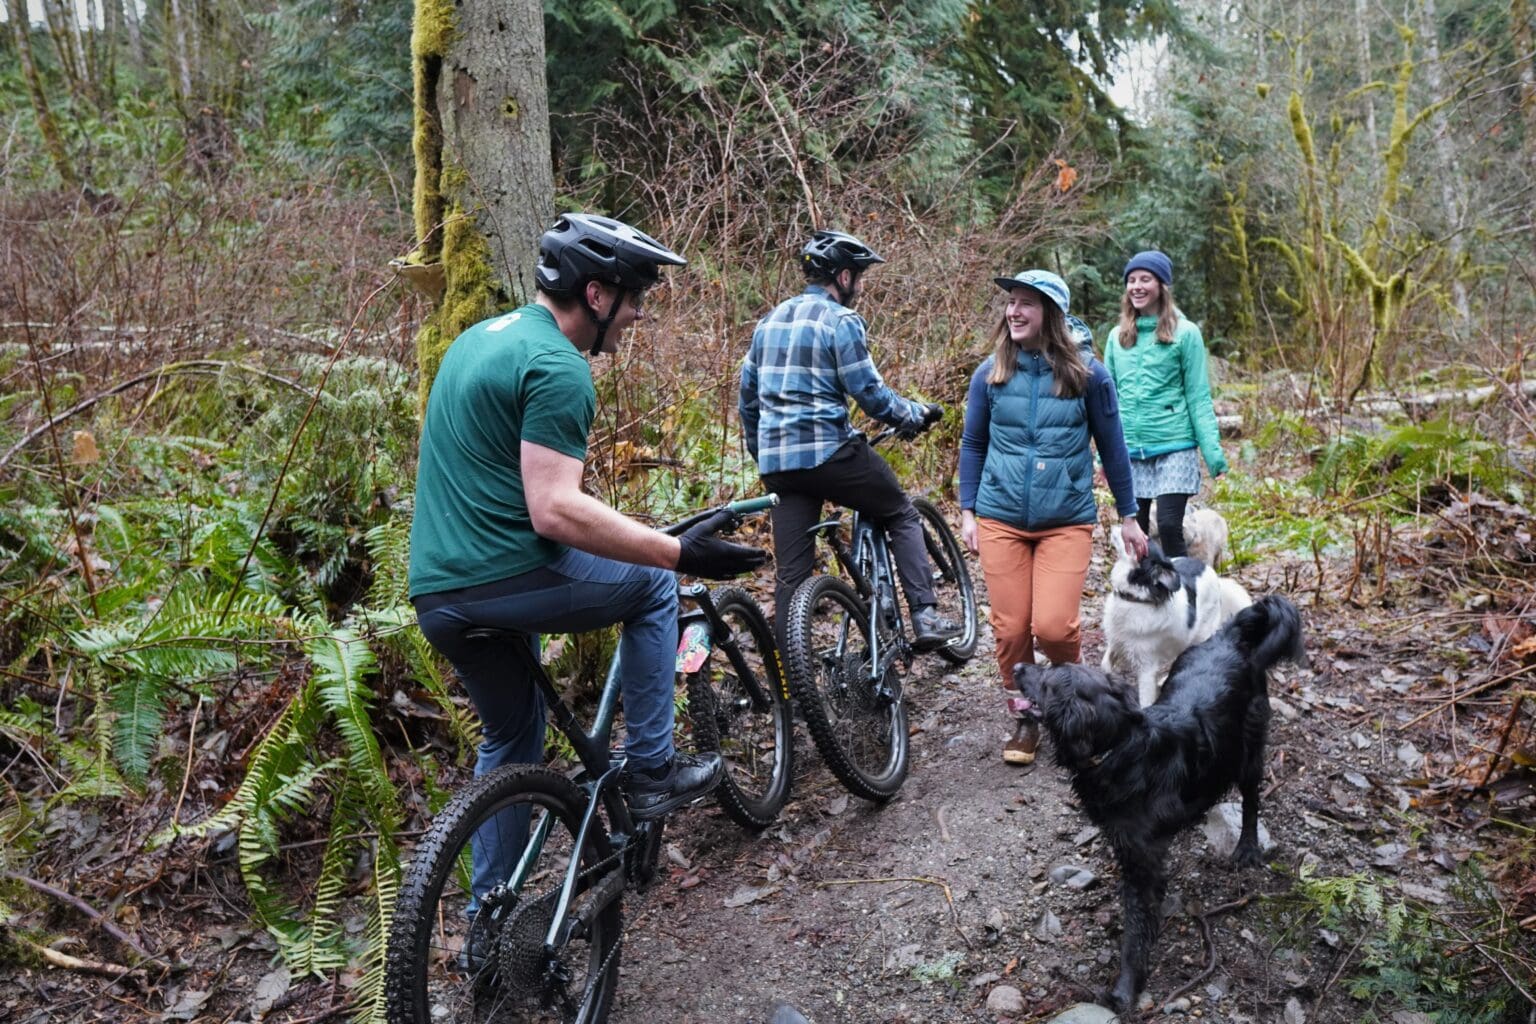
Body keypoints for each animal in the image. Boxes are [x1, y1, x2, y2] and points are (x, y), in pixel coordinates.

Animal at [1013, 592, 1302, 1007]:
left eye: (1048, 682)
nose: (1018, 666)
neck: (1120, 748)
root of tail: (1228, 637)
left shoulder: (1142, 863)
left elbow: (1136, 928)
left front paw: (1125, 988)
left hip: (1249, 749)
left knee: (1250, 801)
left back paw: (1247, 848)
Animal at [1105, 525, 1247, 709]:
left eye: (1143, 540)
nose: (1118, 526)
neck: (1136, 598)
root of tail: (1215, 575)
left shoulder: (1146, 668)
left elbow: (1145, 701)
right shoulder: (1116, 641)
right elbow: (1105, 664)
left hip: (1200, 635)